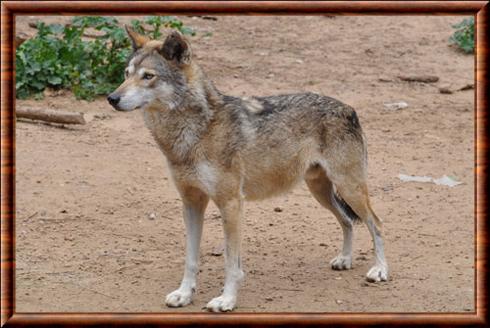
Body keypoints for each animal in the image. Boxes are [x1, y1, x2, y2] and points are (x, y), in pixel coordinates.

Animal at [106, 26, 386, 312]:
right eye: (126, 74)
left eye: (148, 76)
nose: (111, 98)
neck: (196, 131)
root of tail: (348, 108)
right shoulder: (191, 202)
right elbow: (191, 258)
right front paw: (184, 294)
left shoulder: (231, 203)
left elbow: (231, 263)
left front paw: (226, 300)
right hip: (321, 191)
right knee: (347, 221)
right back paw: (345, 260)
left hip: (349, 188)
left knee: (376, 223)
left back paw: (379, 271)